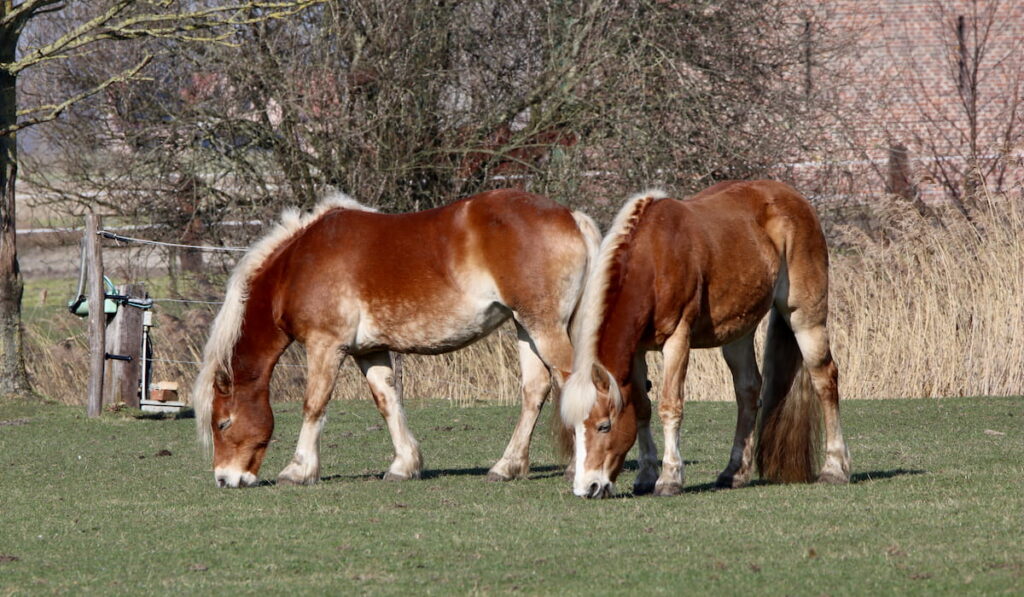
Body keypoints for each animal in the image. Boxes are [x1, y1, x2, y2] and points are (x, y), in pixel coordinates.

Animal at [192, 191, 598, 491]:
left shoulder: (326, 346)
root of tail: (570, 216)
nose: (225, 479)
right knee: (535, 389)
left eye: (223, 424)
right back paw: (507, 466)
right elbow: (387, 401)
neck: (297, 265)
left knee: (573, 385)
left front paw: (299, 470)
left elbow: (314, 405)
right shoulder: (369, 351)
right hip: (525, 328)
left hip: (542, 327)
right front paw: (405, 465)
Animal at [561, 180, 847, 497]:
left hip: (805, 318)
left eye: (603, 426)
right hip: (739, 330)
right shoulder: (635, 352)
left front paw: (670, 478)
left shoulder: (677, 340)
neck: (652, 261)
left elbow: (669, 406)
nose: (587, 487)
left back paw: (835, 468)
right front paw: (646, 476)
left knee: (825, 379)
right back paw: (734, 472)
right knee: (748, 390)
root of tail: (796, 199)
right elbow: (642, 408)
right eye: (574, 428)